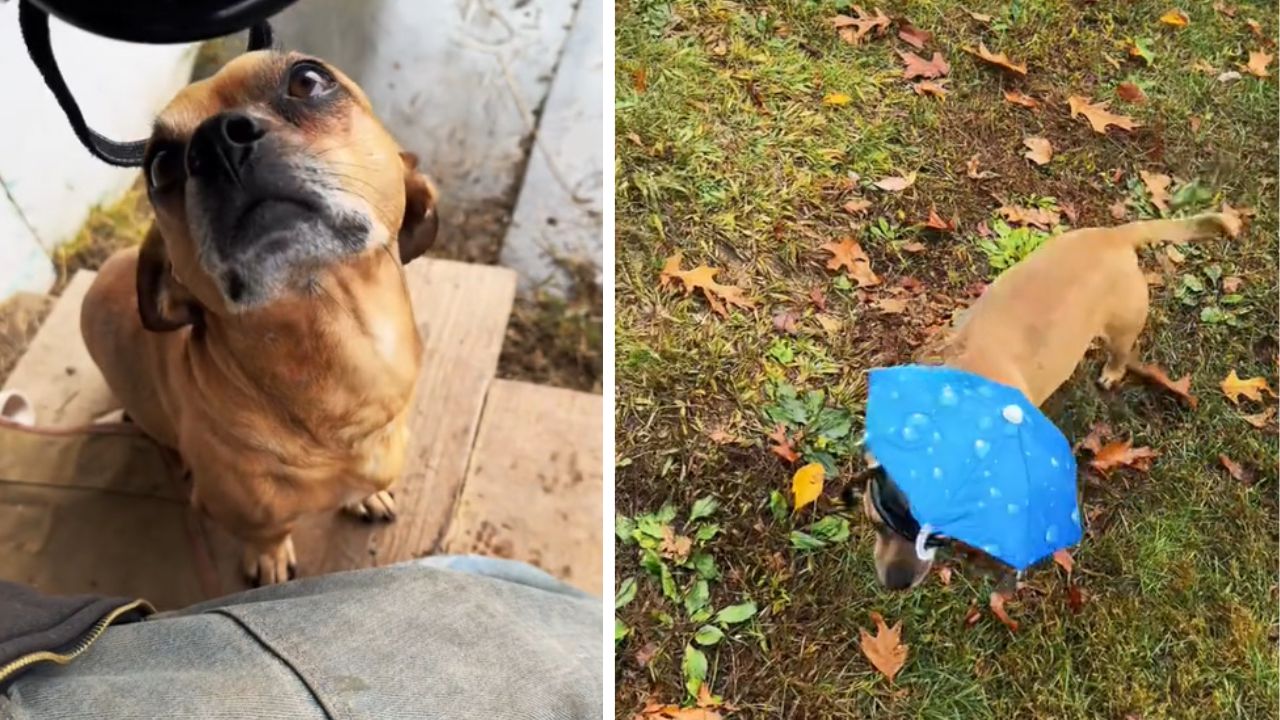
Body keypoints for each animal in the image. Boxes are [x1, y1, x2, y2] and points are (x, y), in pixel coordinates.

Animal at [81, 53, 440, 586]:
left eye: (308, 79)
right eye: (160, 166)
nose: (215, 141)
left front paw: (368, 494)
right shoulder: (245, 510)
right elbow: (267, 532)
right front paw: (269, 558)